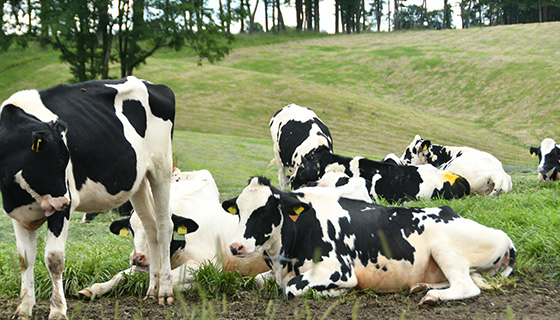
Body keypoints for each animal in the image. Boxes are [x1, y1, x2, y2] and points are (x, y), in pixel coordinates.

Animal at [0, 77, 175, 320]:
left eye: (66, 161)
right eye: (57, 161)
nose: (66, 202)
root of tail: (151, 83)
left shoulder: (60, 210)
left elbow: (54, 259)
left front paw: (58, 310)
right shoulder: (16, 212)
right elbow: (25, 258)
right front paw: (24, 308)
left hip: (162, 168)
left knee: (164, 226)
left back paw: (165, 291)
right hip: (138, 181)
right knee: (150, 228)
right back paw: (152, 289)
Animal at [79, 170, 270, 298]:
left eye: (160, 230)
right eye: (132, 230)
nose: (137, 258)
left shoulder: (208, 264)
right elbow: (120, 275)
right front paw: (93, 289)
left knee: (262, 279)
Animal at [223, 176, 516, 304]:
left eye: (265, 210)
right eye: (238, 210)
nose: (236, 246)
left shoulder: (338, 269)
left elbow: (292, 288)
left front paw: (336, 292)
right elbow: (259, 281)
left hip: (444, 248)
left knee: (467, 287)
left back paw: (432, 296)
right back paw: (421, 286)